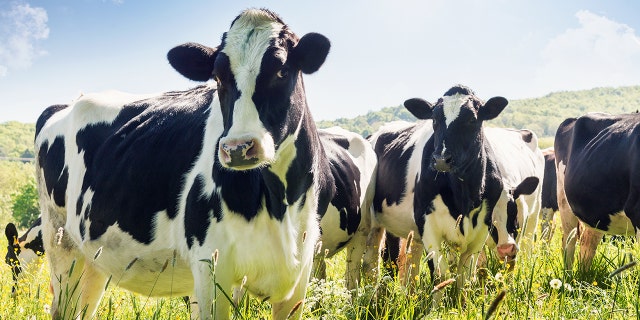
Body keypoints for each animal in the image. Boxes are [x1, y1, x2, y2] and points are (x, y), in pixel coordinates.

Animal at [36, 8, 340, 318]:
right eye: (217, 78)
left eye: (282, 71)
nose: (238, 148)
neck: (280, 202)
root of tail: (68, 103)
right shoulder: (211, 267)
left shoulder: (300, 274)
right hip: (61, 243)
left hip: (93, 261)